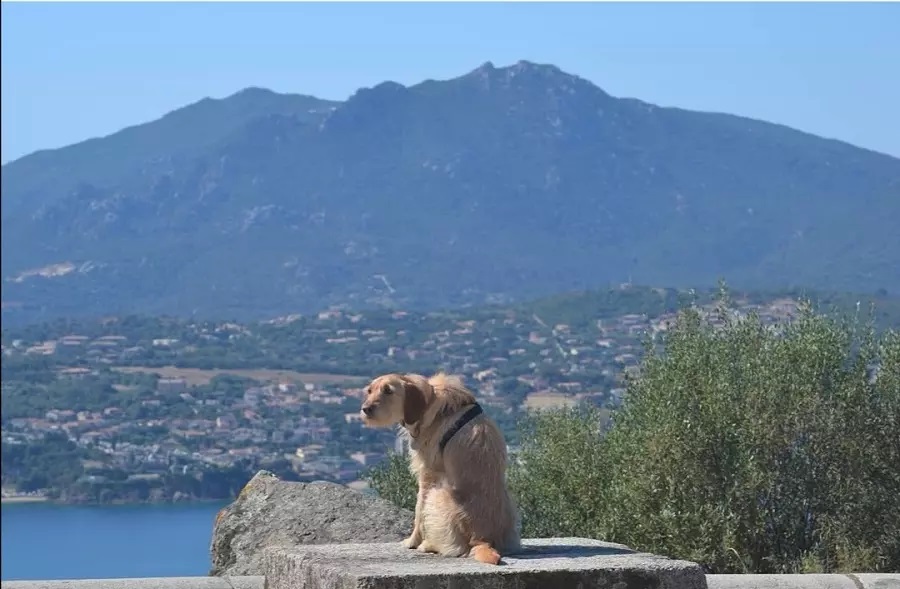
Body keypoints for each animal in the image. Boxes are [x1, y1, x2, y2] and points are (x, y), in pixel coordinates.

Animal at [362, 370, 520, 564]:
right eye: (369, 391)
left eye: (388, 391)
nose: (365, 409)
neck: (430, 400)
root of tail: (481, 539)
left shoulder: (427, 474)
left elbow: (419, 511)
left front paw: (412, 541)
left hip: (438, 494)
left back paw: (427, 545)